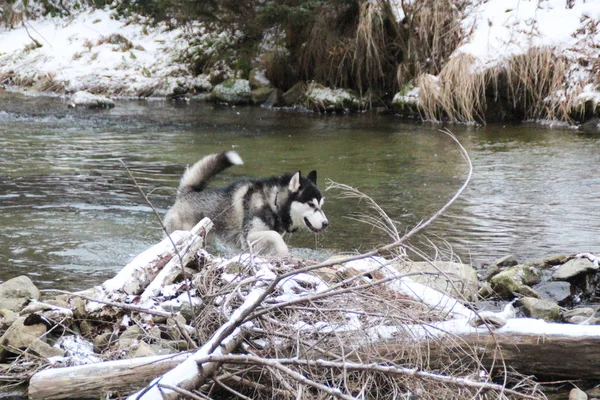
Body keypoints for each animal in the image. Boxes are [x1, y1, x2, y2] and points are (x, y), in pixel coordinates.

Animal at [164, 152, 328, 255]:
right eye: (311, 204)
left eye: (321, 204)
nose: (326, 223)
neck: (272, 203)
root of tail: (186, 192)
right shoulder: (248, 236)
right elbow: (275, 235)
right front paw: (285, 252)